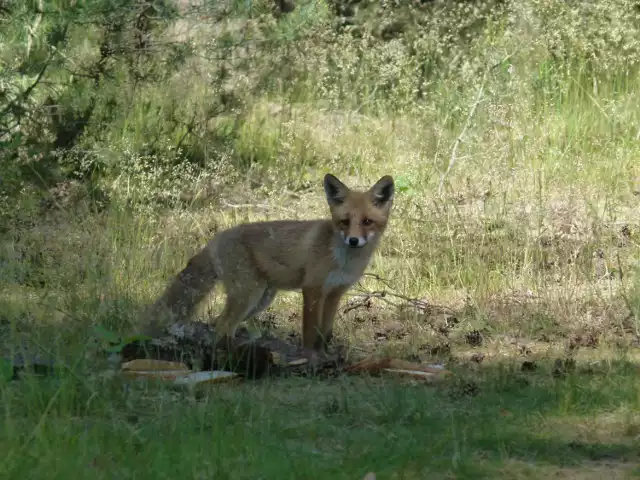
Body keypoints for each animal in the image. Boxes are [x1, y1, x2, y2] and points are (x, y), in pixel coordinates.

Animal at [141, 174, 396, 354]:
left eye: (367, 222)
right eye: (344, 222)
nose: (353, 240)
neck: (342, 260)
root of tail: (217, 238)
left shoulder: (335, 293)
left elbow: (325, 333)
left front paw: (325, 357)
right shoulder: (312, 289)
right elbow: (309, 333)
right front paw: (309, 360)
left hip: (260, 300)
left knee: (218, 324)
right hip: (248, 295)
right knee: (223, 324)